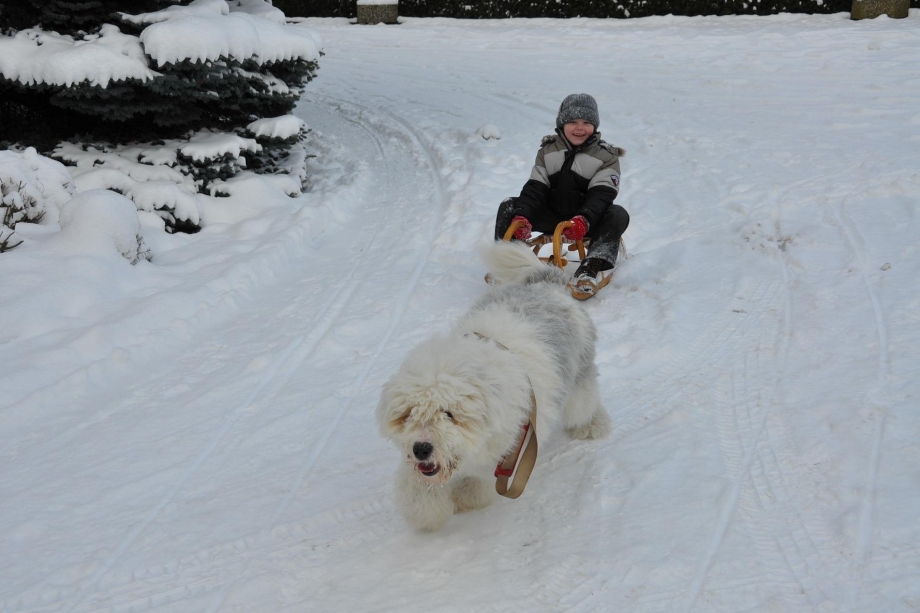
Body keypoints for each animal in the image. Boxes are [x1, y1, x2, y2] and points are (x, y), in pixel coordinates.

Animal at [376, 240, 611, 531]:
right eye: (409, 414)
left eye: (449, 414)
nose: (421, 449)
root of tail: (546, 284)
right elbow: (417, 489)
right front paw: (427, 512)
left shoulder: (510, 446)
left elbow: (478, 480)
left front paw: (467, 497)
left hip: (579, 376)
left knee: (584, 404)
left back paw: (592, 426)